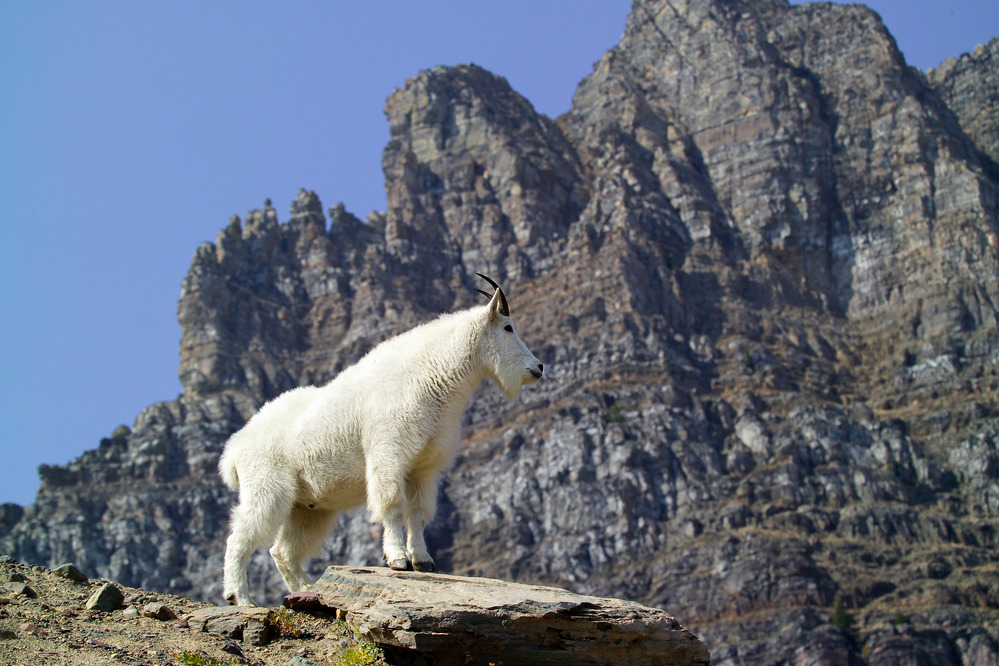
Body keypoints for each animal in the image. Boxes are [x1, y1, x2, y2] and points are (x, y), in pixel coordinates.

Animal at [218, 273, 543, 606]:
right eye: (508, 328)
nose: (538, 368)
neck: (432, 378)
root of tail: (235, 448)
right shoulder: (389, 455)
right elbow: (392, 505)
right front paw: (398, 559)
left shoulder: (424, 468)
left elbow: (418, 513)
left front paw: (423, 561)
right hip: (266, 488)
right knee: (239, 536)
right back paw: (239, 597)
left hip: (309, 508)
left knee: (282, 551)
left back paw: (307, 590)